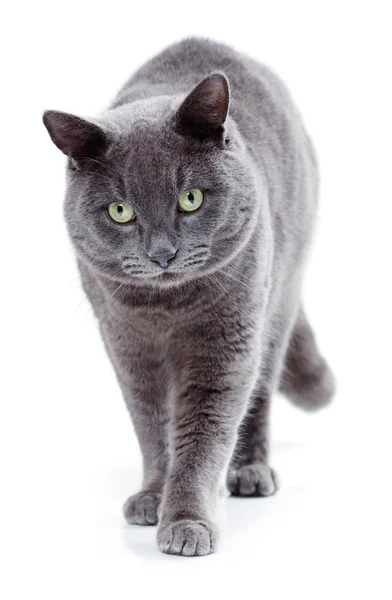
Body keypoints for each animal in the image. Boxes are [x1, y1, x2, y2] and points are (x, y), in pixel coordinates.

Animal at [43, 37, 334, 556]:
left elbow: (202, 434)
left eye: (190, 200)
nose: (162, 253)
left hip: (279, 297)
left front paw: (186, 523)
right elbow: (152, 425)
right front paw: (152, 498)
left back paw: (249, 472)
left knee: (259, 395)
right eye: (120, 211)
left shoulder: (227, 347)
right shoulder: (127, 348)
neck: (167, 311)